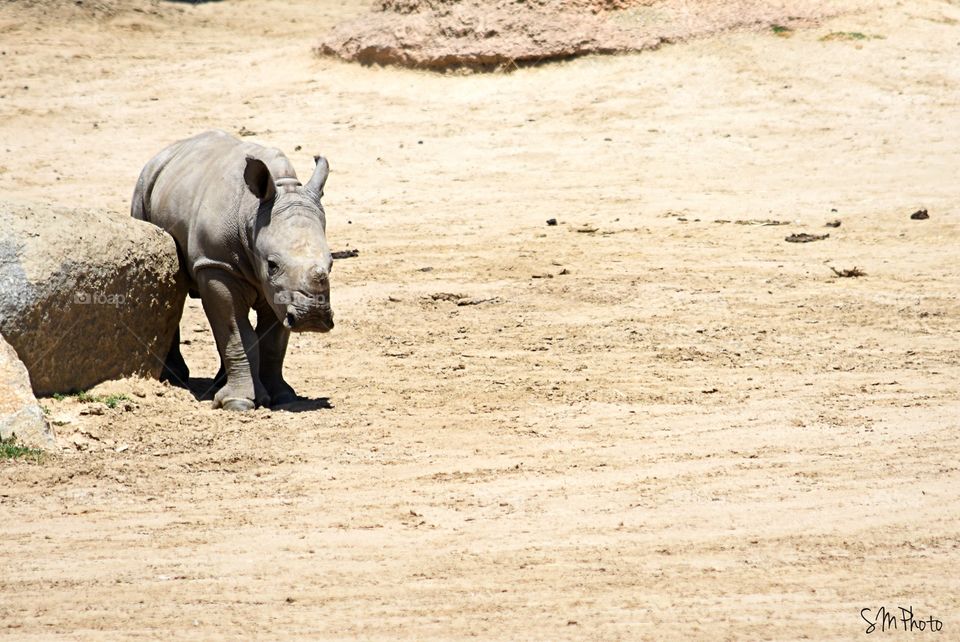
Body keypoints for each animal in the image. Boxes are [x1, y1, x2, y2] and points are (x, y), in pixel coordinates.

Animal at [132, 130, 335, 411]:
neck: (252, 213)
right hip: (142, 191)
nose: (312, 318)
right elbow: (236, 333)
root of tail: (163, 154)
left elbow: (272, 341)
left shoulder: (280, 291)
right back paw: (173, 378)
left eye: (331, 263)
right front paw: (237, 403)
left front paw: (283, 396)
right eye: (272, 265)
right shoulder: (217, 265)